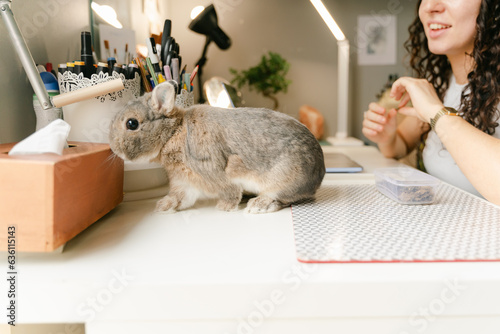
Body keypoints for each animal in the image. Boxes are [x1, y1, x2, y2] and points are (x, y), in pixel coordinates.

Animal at [110, 82, 324, 213]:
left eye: (131, 123)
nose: (113, 148)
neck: (174, 132)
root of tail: (319, 173)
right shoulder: (185, 182)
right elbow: (180, 197)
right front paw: (163, 206)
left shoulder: (214, 172)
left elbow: (230, 190)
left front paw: (224, 207)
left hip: (283, 179)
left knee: (281, 198)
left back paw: (258, 205)